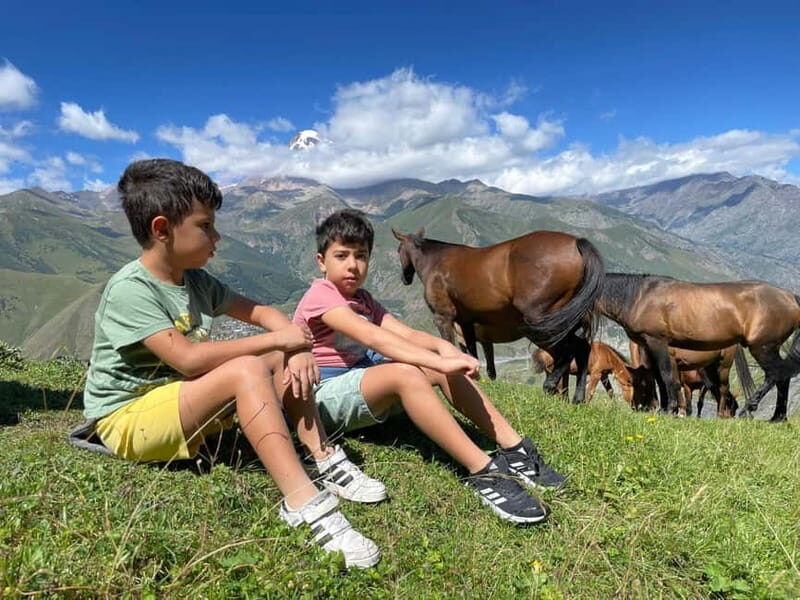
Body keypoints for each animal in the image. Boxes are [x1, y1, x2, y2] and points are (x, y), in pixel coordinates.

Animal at [393, 229, 605, 403]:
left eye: (398, 250)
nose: (405, 278)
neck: (436, 262)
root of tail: (576, 243)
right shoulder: (466, 323)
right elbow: (471, 353)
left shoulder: (443, 317)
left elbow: (448, 345)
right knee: (582, 348)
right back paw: (577, 399)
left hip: (542, 324)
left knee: (569, 351)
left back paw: (551, 386)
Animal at [600, 273, 800, 421]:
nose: (637, 407)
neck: (639, 297)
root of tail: (790, 297)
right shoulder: (649, 349)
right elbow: (660, 378)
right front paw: (666, 409)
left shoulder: (659, 345)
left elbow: (668, 377)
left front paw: (671, 410)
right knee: (783, 376)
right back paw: (778, 418)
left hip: (761, 348)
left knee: (774, 374)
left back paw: (748, 410)